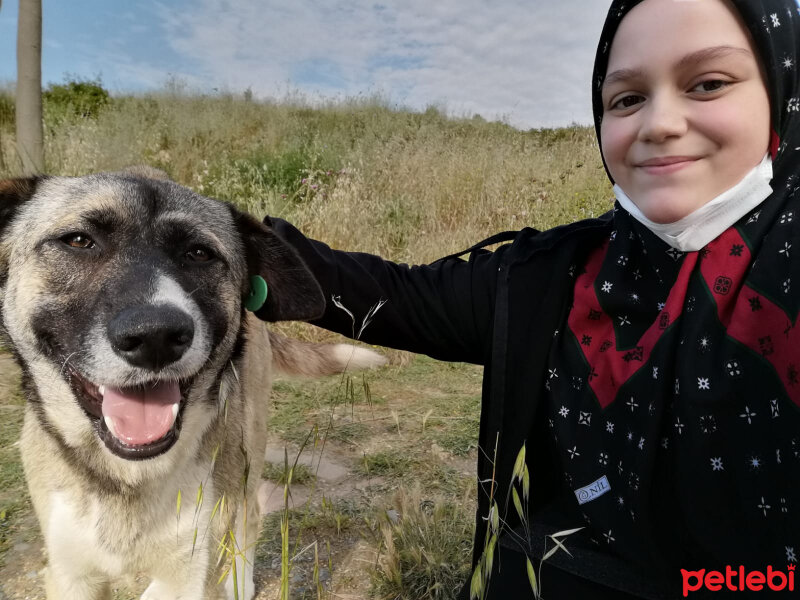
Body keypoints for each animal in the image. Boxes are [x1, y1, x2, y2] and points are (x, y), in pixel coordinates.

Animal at [0, 169, 384, 600]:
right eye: (79, 241)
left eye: (199, 253)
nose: (155, 336)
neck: (129, 476)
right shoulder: (70, 573)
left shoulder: (192, 564)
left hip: (248, 443)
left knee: (250, 514)